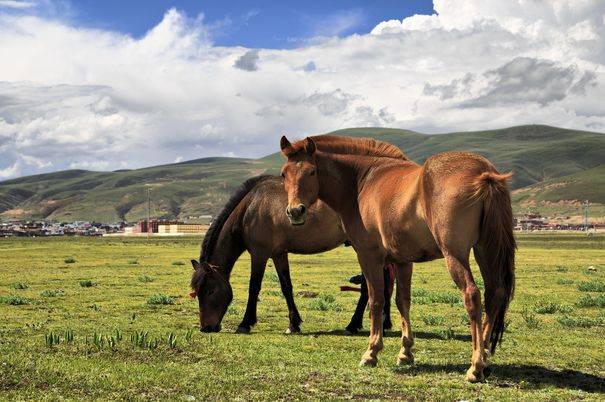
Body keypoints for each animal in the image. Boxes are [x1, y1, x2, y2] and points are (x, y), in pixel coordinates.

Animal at [191, 174, 394, 334]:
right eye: (196, 292)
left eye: (210, 290)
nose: (206, 327)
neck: (250, 207)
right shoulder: (279, 254)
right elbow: (286, 287)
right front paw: (293, 324)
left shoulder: (259, 254)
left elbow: (254, 287)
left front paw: (245, 323)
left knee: (370, 286)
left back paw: (354, 325)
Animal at [280, 133, 516, 382]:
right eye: (284, 173)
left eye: (312, 171)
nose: (295, 211)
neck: (362, 181)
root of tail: (484, 173)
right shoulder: (403, 261)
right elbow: (403, 301)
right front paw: (405, 352)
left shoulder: (369, 256)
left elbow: (376, 300)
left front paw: (371, 352)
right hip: (485, 251)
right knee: (494, 294)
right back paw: (486, 357)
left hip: (455, 254)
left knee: (472, 295)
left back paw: (476, 365)